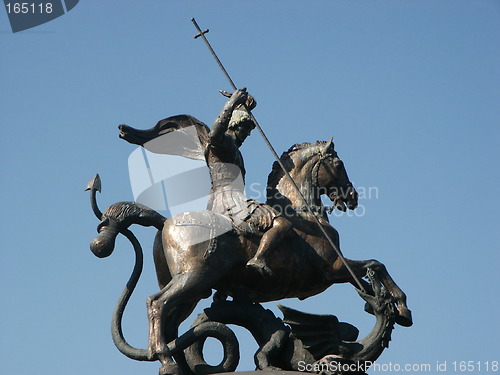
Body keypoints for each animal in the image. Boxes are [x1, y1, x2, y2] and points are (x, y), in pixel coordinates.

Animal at [89, 139, 410, 375]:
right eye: (338, 163)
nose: (352, 197)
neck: (305, 214)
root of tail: (165, 222)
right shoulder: (332, 269)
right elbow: (376, 264)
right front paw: (403, 308)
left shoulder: (337, 271)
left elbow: (369, 274)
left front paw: (381, 303)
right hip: (193, 277)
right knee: (156, 304)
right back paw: (166, 361)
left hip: (191, 289)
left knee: (171, 321)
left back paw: (180, 362)